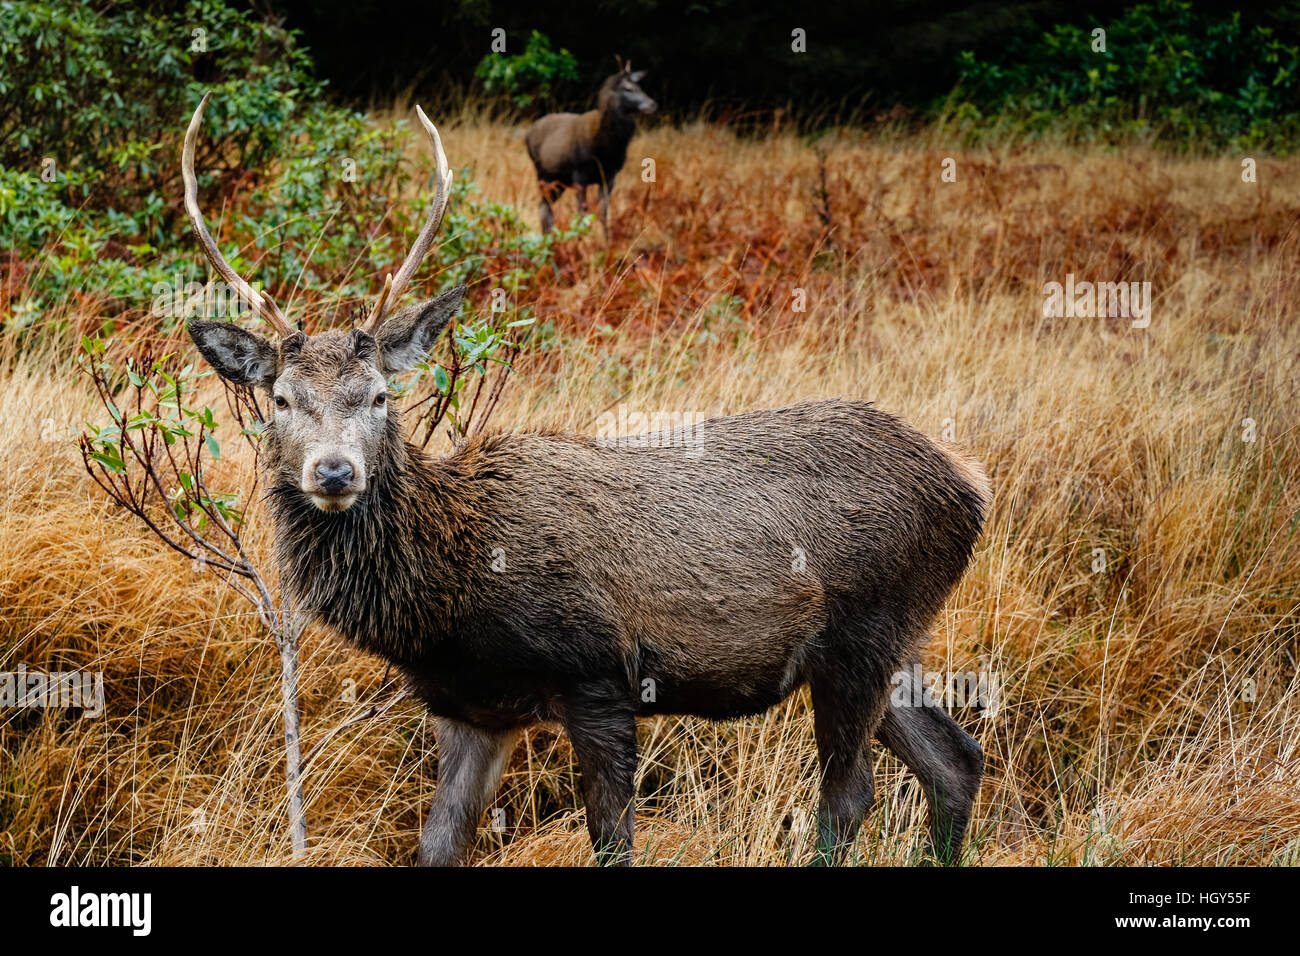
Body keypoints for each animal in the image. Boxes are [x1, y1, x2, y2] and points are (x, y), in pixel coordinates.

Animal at [183, 95, 987, 868]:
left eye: (381, 395)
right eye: (281, 399)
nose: (334, 471)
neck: (451, 590)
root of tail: (971, 486)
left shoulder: (597, 677)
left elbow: (611, 841)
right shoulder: (468, 708)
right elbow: (438, 845)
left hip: (865, 629)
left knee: (850, 796)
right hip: (894, 642)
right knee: (956, 757)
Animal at [522, 61, 655, 235]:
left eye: (639, 87)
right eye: (628, 89)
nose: (652, 104)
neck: (606, 147)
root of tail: (527, 134)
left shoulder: (609, 176)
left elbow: (603, 212)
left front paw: (606, 241)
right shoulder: (580, 173)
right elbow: (581, 212)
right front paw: (580, 238)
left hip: (558, 181)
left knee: (544, 207)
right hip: (543, 174)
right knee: (544, 208)